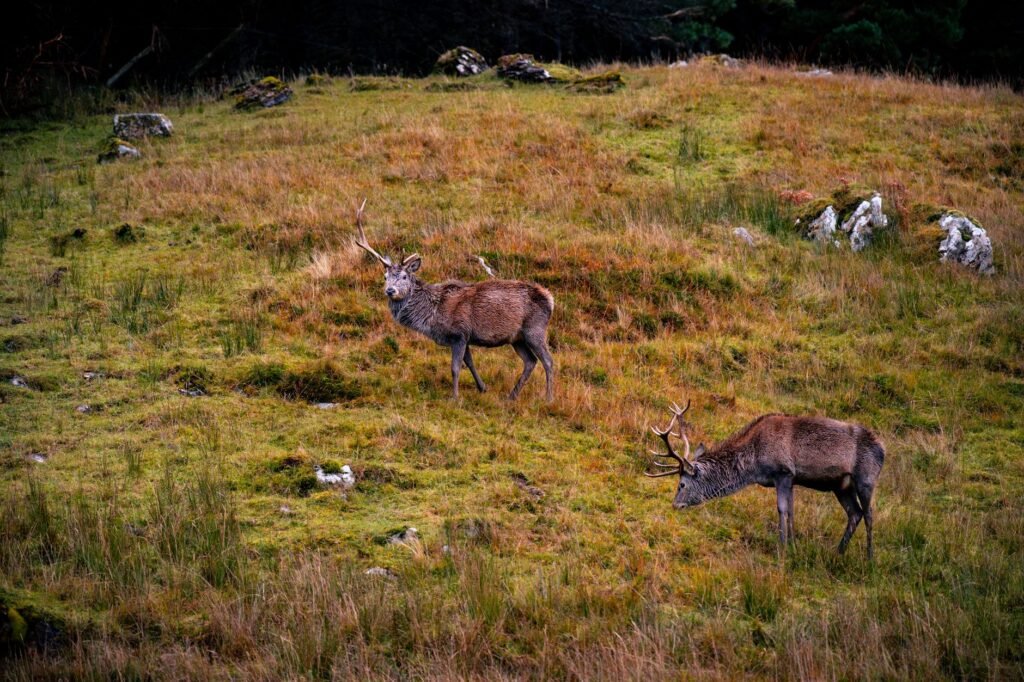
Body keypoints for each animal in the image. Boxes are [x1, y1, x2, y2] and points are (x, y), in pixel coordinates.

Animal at [353, 200, 555, 401]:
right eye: (385, 276)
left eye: (403, 276)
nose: (390, 290)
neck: (432, 315)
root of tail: (550, 299)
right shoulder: (464, 337)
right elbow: (470, 363)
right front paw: (483, 388)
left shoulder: (459, 333)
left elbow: (455, 368)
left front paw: (455, 398)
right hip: (516, 338)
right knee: (530, 361)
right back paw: (511, 396)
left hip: (535, 329)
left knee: (548, 360)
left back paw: (548, 397)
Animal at [644, 400, 885, 558]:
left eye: (681, 484)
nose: (675, 505)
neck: (754, 463)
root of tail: (883, 449)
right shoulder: (792, 479)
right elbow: (791, 511)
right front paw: (793, 545)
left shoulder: (783, 472)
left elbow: (782, 509)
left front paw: (782, 547)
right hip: (841, 486)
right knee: (855, 513)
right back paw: (838, 551)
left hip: (866, 477)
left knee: (869, 514)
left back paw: (869, 557)